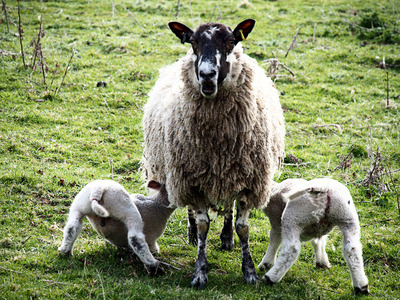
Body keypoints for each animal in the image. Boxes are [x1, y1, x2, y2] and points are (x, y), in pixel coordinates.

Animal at [142, 19, 286, 288]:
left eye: (230, 42)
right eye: (193, 42)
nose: (207, 75)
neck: (218, 142)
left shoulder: (249, 180)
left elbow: (242, 227)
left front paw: (249, 271)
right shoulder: (191, 179)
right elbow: (202, 226)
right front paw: (200, 271)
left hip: (230, 174)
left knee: (228, 205)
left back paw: (227, 238)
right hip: (180, 176)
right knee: (191, 211)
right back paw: (191, 234)